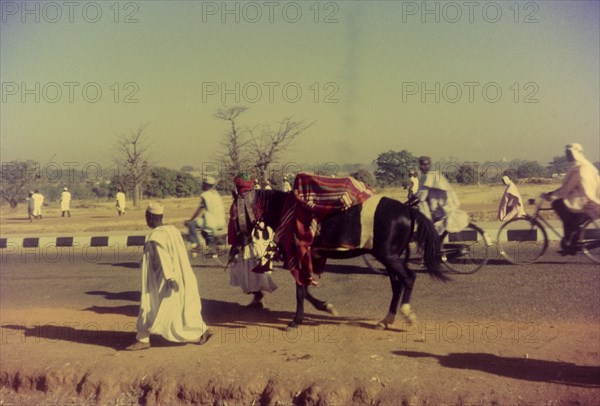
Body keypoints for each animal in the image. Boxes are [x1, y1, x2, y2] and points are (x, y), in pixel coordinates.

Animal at [237, 189, 448, 328]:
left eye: (234, 210)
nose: (238, 237)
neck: (288, 211)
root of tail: (408, 210)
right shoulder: (309, 257)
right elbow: (305, 288)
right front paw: (326, 307)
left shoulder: (299, 258)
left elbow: (300, 291)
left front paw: (297, 320)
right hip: (390, 258)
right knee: (397, 284)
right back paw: (386, 320)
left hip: (388, 257)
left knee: (409, 278)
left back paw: (407, 314)